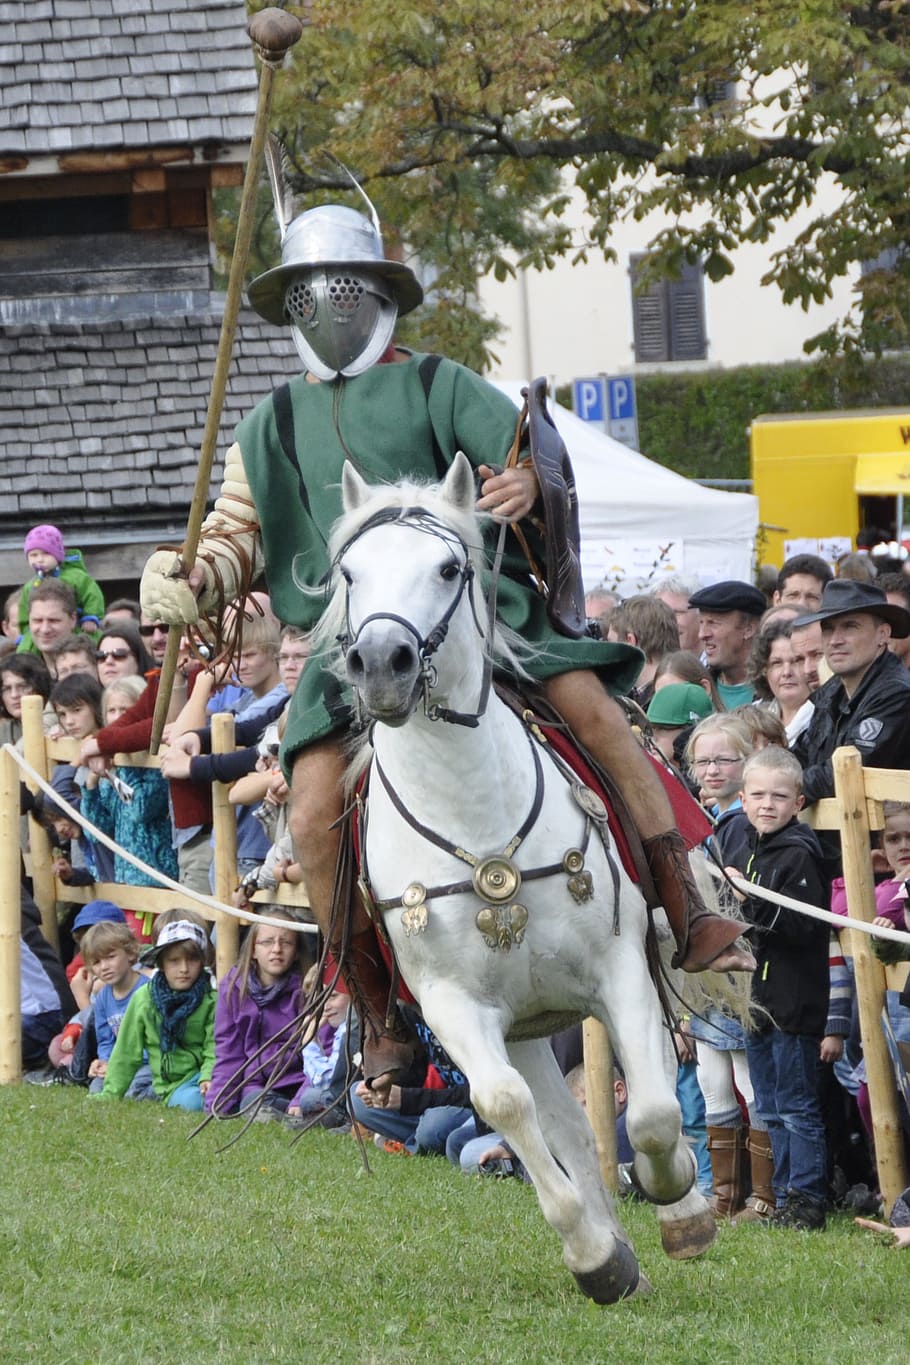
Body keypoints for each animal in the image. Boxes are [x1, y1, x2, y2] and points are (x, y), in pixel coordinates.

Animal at [320, 455, 720, 1299]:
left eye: (448, 567)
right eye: (349, 572)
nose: (381, 665)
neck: (477, 818)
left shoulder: (619, 971)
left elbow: (653, 1114)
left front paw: (679, 1199)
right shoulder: (456, 1006)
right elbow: (505, 1104)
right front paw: (594, 1254)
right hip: (528, 1024)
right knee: (562, 1121)